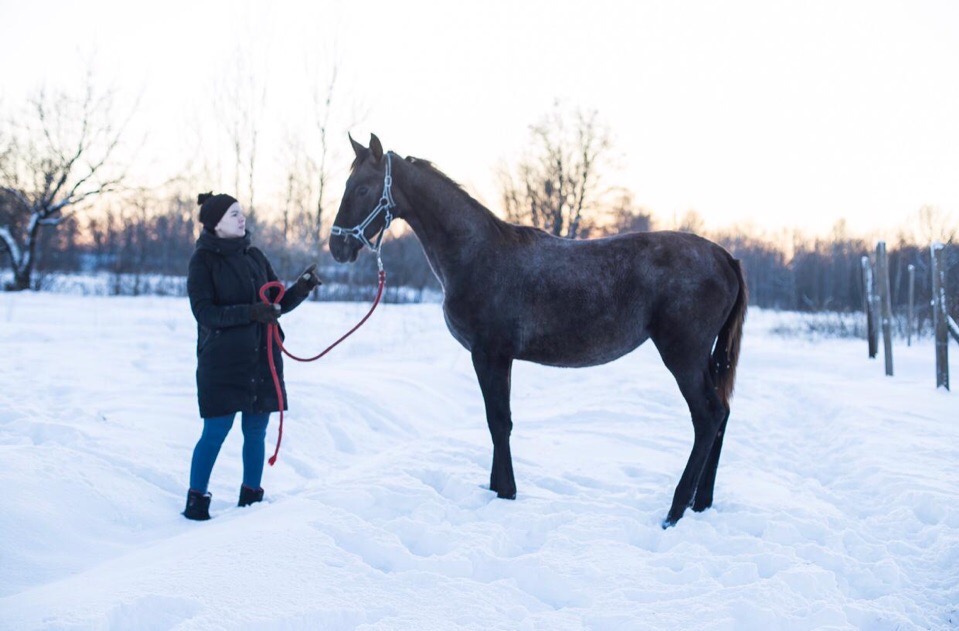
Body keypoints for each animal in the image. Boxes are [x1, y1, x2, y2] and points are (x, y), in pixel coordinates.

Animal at [330, 134, 747, 527]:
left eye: (362, 189)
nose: (337, 246)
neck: (476, 253)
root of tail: (724, 257)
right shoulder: (502, 359)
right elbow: (501, 421)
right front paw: (498, 489)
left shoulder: (489, 355)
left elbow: (498, 421)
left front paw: (505, 492)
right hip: (703, 359)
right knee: (722, 415)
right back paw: (700, 503)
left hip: (684, 356)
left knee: (707, 417)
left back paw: (674, 511)